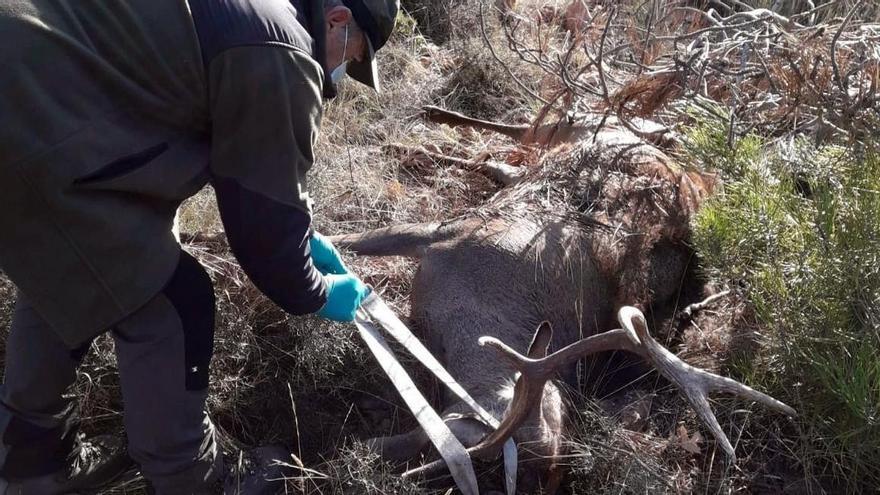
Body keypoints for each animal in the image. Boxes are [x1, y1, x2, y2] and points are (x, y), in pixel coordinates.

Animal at [334, 113, 796, 492]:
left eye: (554, 469)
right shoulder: (445, 233)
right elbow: (355, 240)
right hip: (573, 130)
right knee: (520, 142)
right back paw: (422, 134)